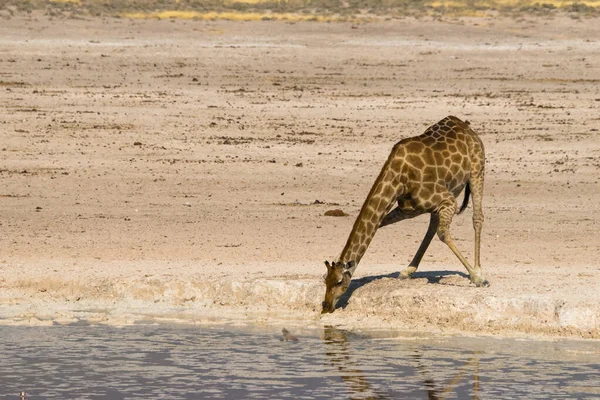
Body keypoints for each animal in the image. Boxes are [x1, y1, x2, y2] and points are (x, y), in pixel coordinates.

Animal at [324, 117, 488, 314]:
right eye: (325, 280)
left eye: (339, 281)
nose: (326, 306)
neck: (398, 177)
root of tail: (464, 125)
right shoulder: (408, 209)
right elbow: (380, 225)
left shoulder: (448, 200)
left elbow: (443, 234)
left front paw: (477, 279)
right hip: (449, 193)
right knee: (432, 227)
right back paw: (407, 270)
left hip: (477, 170)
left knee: (477, 218)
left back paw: (478, 270)